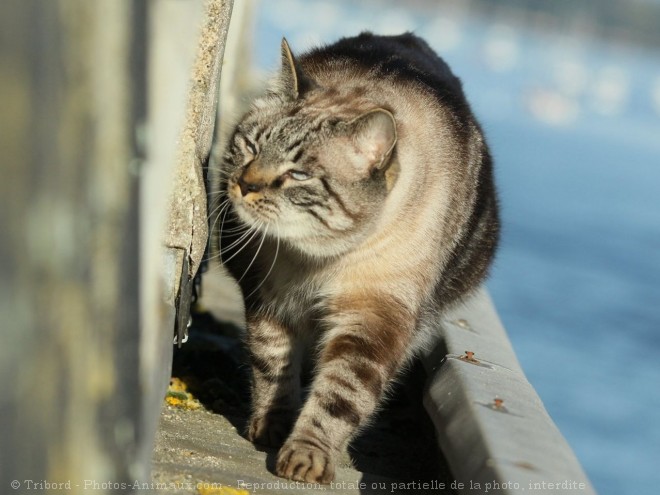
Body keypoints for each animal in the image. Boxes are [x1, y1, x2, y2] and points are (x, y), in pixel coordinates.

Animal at [214, 32, 498, 484]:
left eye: (298, 174)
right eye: (251, 146)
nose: (245, 184)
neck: (316, 259)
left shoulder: (373, 317)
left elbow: (340, 396)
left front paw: (306, 456)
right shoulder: (267, 296)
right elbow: (273, 366)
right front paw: (272, 428)